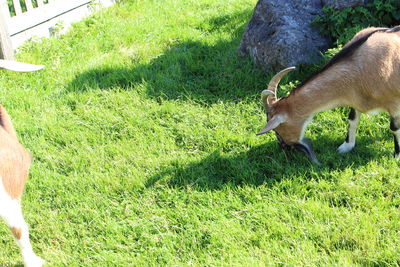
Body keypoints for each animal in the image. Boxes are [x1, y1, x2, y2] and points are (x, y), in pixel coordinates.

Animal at [258, 26, 400, 164]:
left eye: (277, 130)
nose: (283, 147)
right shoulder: (355, 100)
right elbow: (352, 120)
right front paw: (346, 147)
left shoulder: (394, 105)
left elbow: (394, 128)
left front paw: (397, 156)